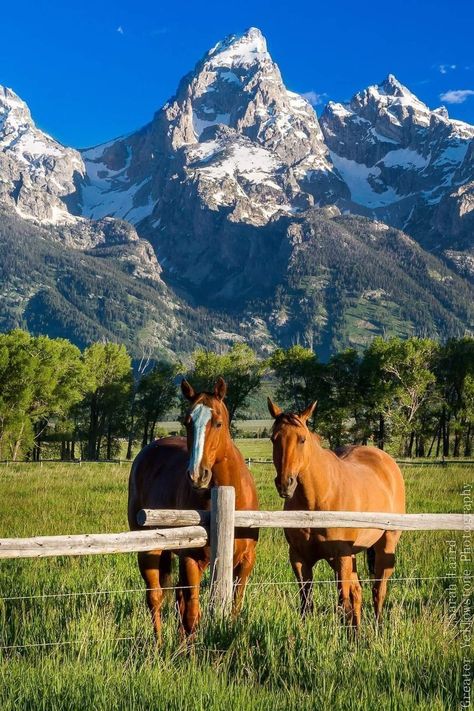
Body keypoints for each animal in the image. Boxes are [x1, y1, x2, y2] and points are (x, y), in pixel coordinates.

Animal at [128, 378, 258, 640]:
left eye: (218, 422)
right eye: (187, 422)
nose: (197, 475)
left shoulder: (245, 563)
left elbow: (233, 607)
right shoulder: (192, 560)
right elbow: (192, 615)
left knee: (176, 598)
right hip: (150, 549)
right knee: (155, 597)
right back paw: (158, 644)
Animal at [268, 400, 406, 628]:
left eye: (302, 439)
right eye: (273, 438)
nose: (285, 483)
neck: (317, 501)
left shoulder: (341, 557)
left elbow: (344, 601)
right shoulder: (299, 558)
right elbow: (306, 603)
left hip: (385, 545)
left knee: (378, 590)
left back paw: (377, 629)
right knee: (358, 592)